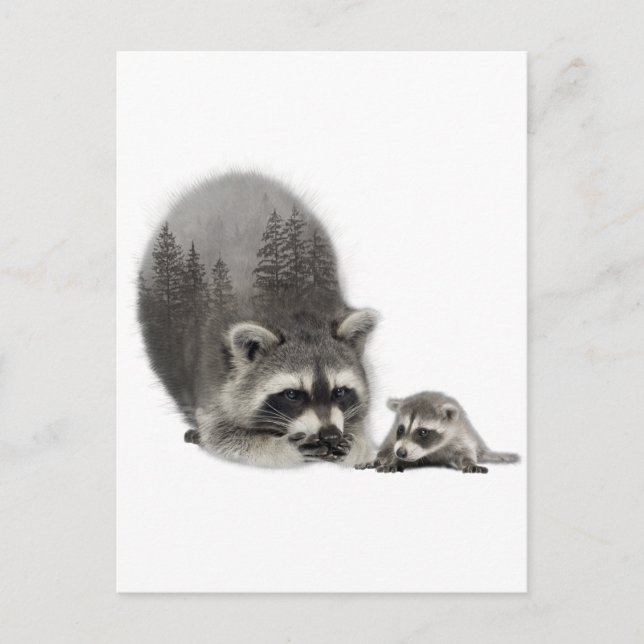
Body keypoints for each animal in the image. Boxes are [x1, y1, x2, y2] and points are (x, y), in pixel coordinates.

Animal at [138, 171, 377, 467]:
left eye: (340, 391)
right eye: (292, 394)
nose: (330, 435)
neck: (293, 312)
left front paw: (355, 443)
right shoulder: (216, 380)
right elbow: (222, 435)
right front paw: (281, 446)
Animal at [356, 391, 519, 473]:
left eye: (423, 432)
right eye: (401, 429)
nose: (400, 453)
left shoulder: (460, 435)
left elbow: (465, 453)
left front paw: (469, 462)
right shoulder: (394, 437)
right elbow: (390, 450)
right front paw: (393, 461)